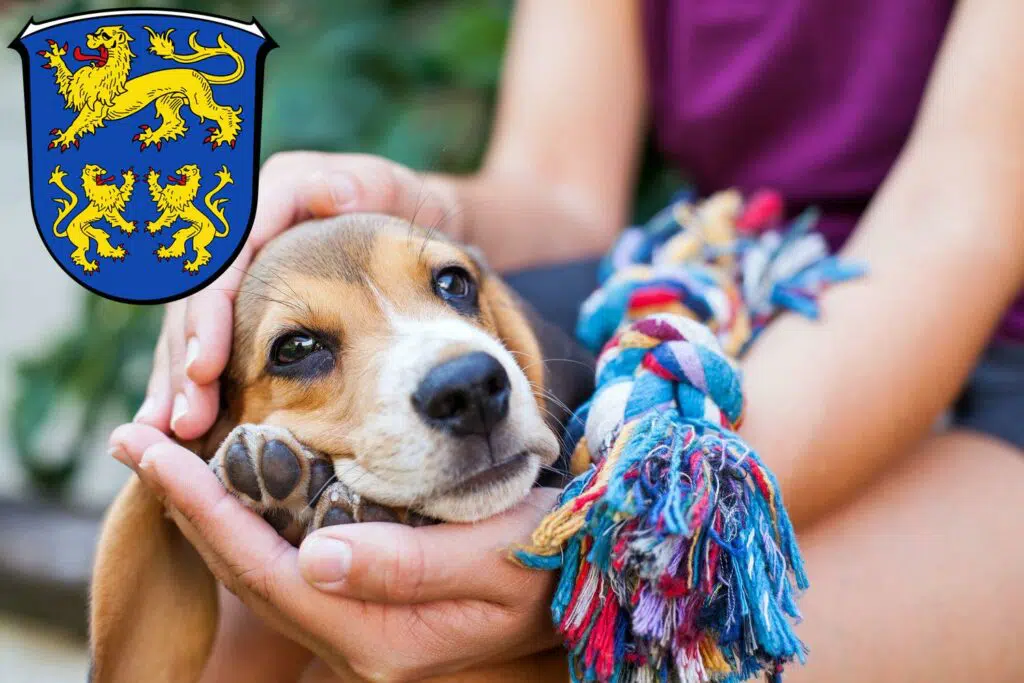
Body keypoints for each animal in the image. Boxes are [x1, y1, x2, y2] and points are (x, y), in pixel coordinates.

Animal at [36, 25, 245, 152]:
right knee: (175, 121)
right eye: (96, 32)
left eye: (104, 35)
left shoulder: (95, 110)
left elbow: (76, 123)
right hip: (166, 102)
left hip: (198, 102)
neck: (101, 72)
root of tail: (197, 72)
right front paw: (55, 55)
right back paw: (152, 136)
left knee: (225, 112)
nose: (88, 36)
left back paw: (224, 136)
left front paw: (64, 138)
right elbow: (66, 80)